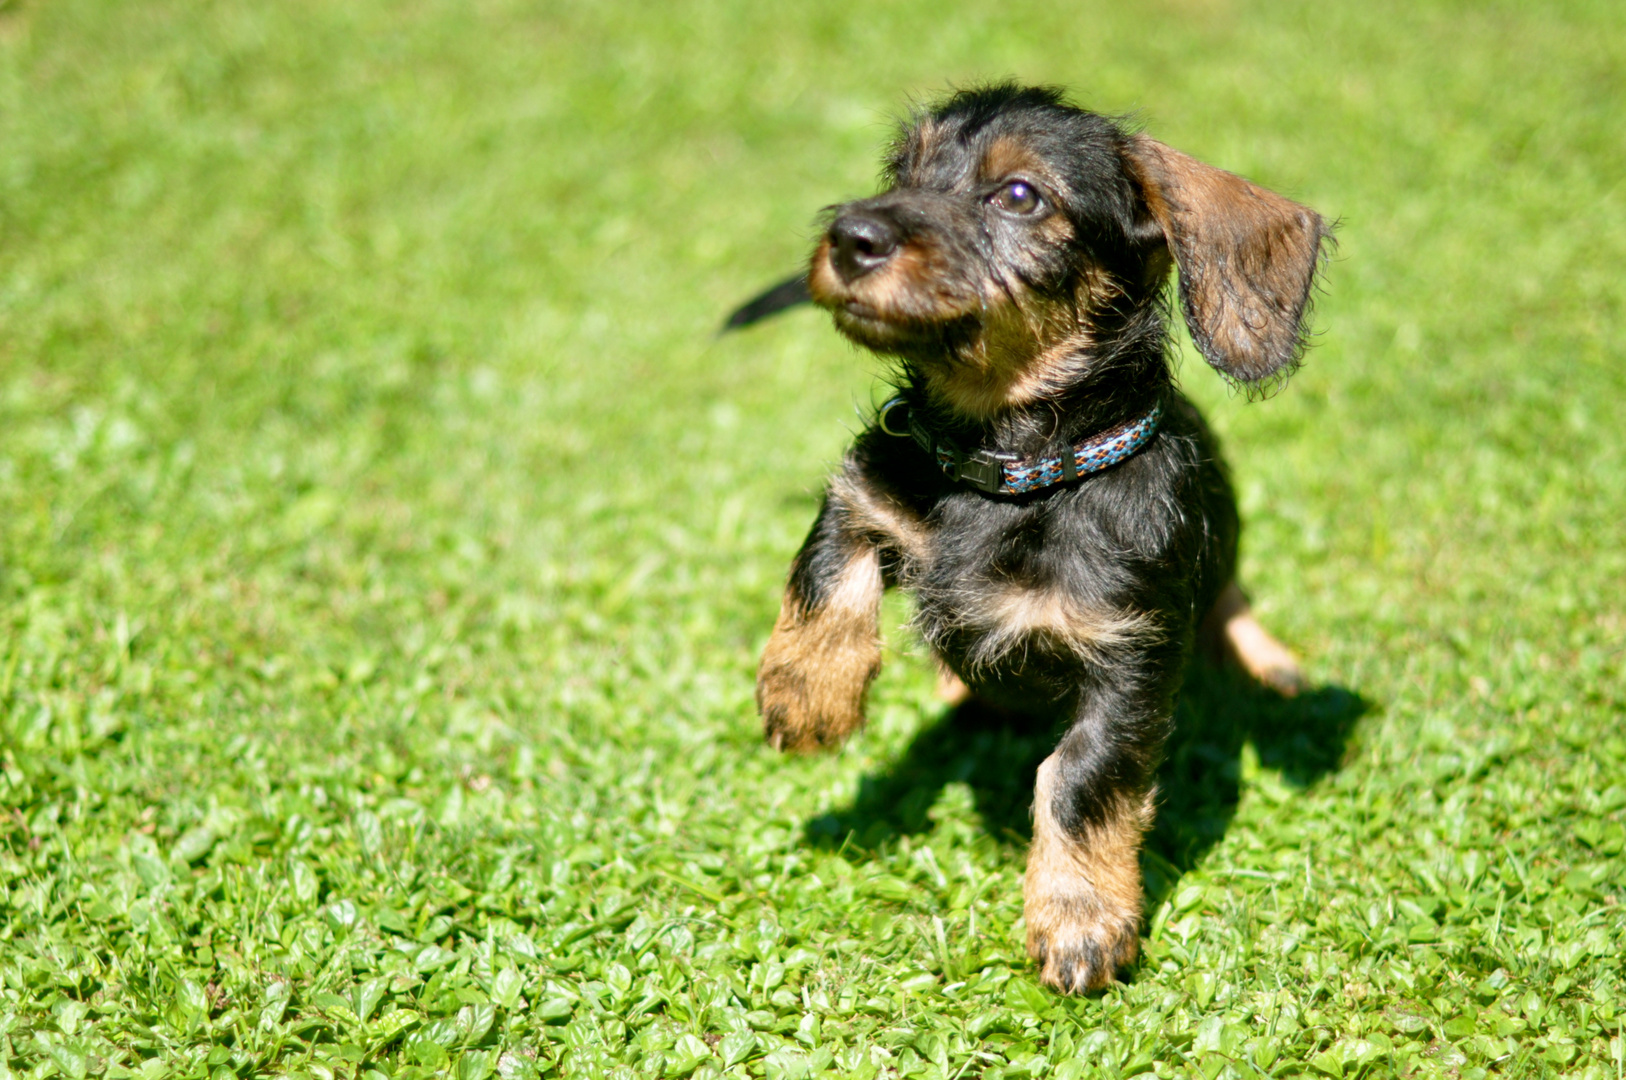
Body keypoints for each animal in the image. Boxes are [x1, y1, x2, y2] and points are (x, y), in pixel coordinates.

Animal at [751, 88, 1333, 988]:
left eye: (1019, 195)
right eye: (902, 172)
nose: (851, 236)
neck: (1009, 472)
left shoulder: (1128, 658)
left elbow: (1080, 781)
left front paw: (1079, 919)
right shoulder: (872, 486)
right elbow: (829, 567)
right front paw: (808, 693)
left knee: (1233, 604)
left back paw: (1274, 670)